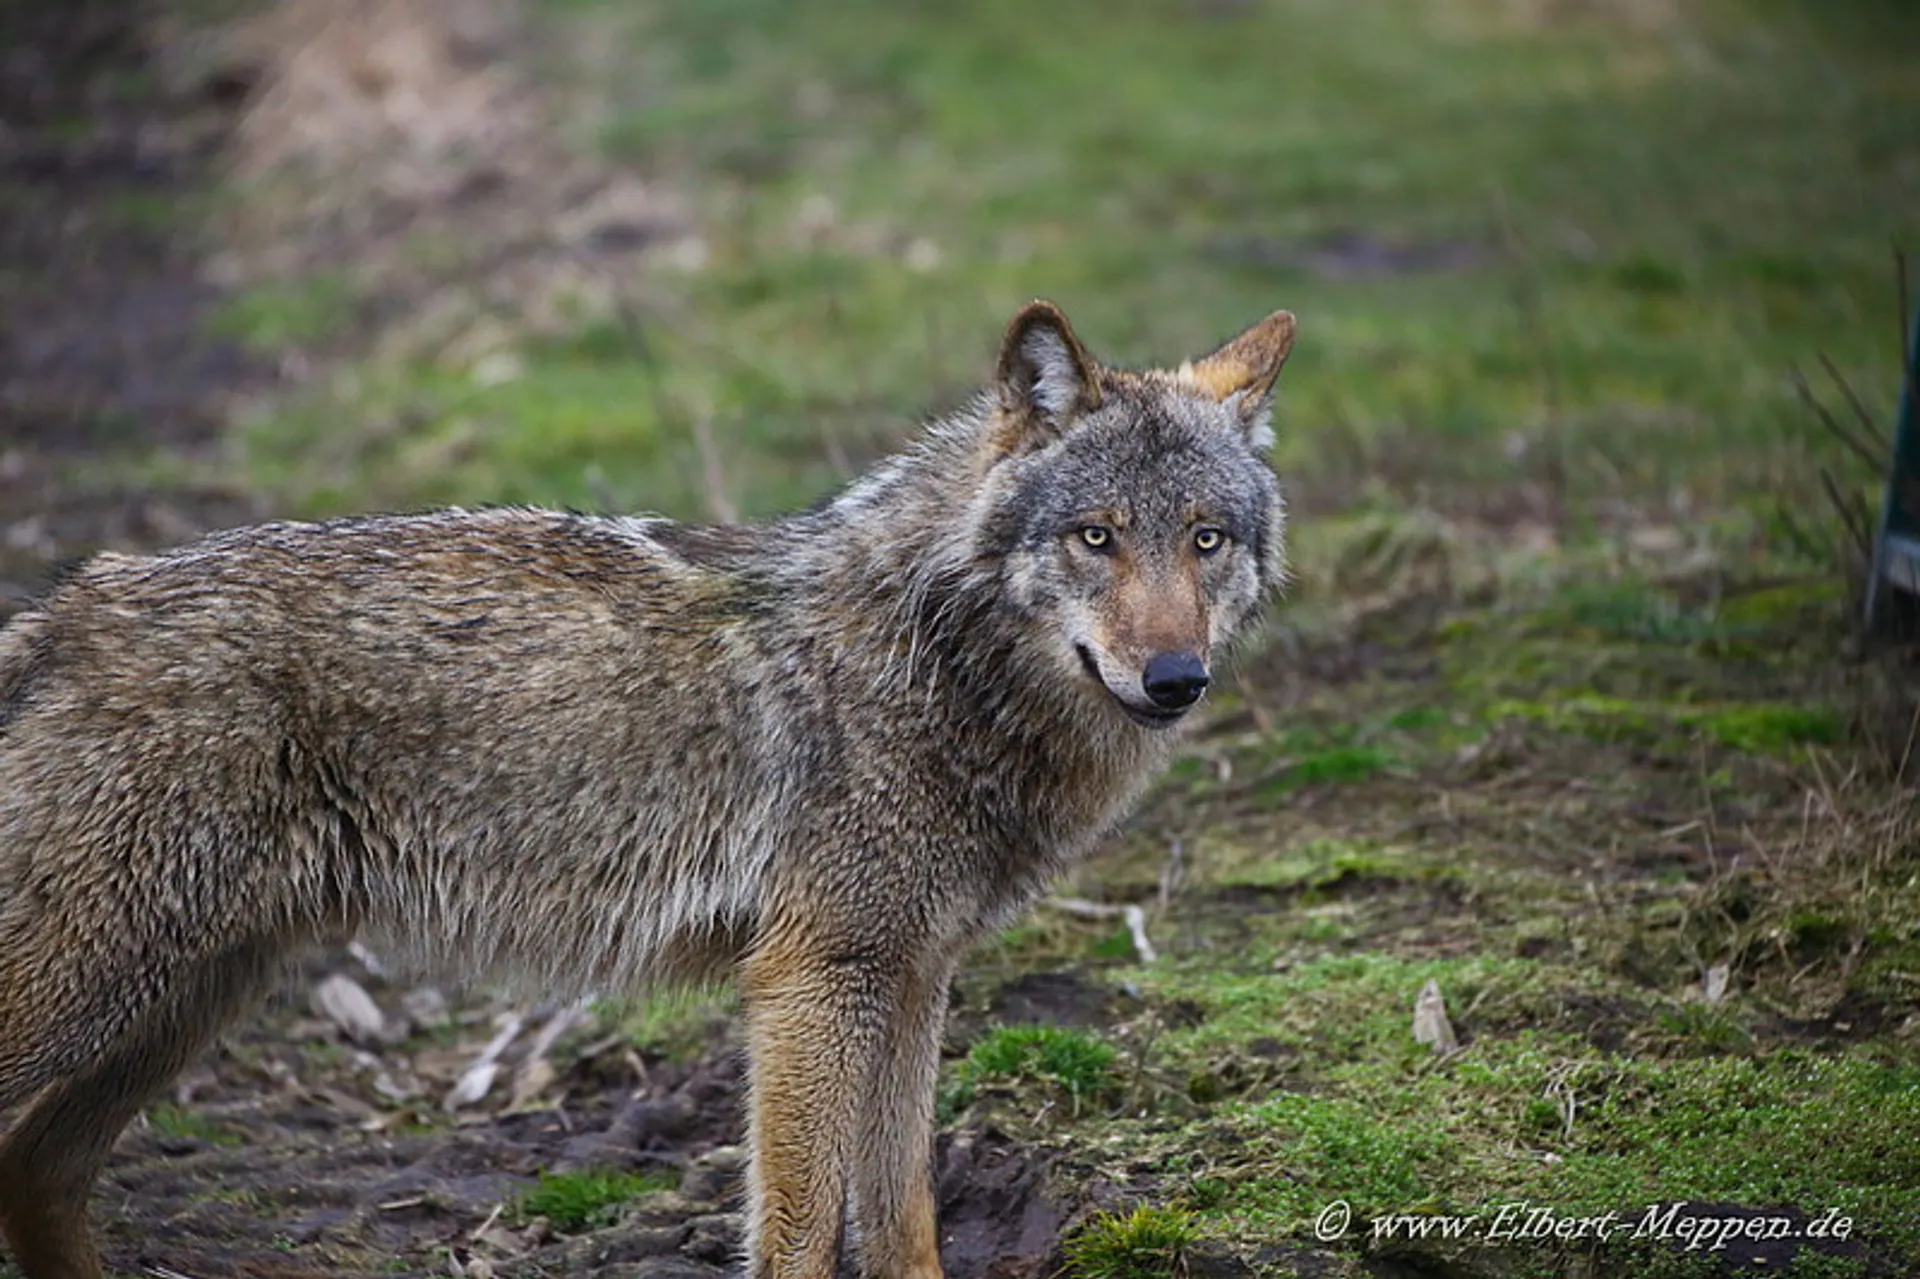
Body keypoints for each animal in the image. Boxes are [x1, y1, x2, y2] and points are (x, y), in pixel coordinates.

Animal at [0, 299, 1296, 1279]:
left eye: (1205, 540)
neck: (934, 660)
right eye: (1095, 536)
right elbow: (799, 1240)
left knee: (41, 1171)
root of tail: (63, 609)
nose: (1175, 679)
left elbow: (905, 1222)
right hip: (104, 992)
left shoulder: (915, 980)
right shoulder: (810, 984)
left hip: (182, 1000)